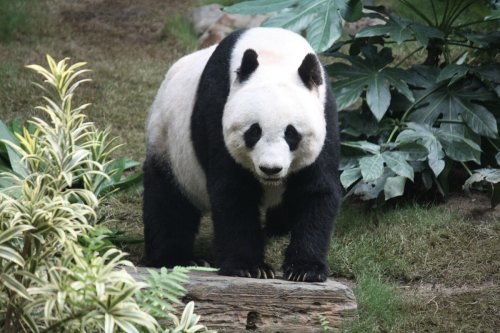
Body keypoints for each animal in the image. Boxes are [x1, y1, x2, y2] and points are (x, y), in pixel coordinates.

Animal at [143, 27, 342, 280]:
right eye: (254, 132)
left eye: (291, 134)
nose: (270, 169)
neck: (275, 52)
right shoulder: (217, 106)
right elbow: (234, 192)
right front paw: (249, 267)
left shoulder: (326, 114)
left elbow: (315, 190)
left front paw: (305, 269)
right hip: (169, 143)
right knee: (169, 201)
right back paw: (177, 258)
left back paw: (276, 229)